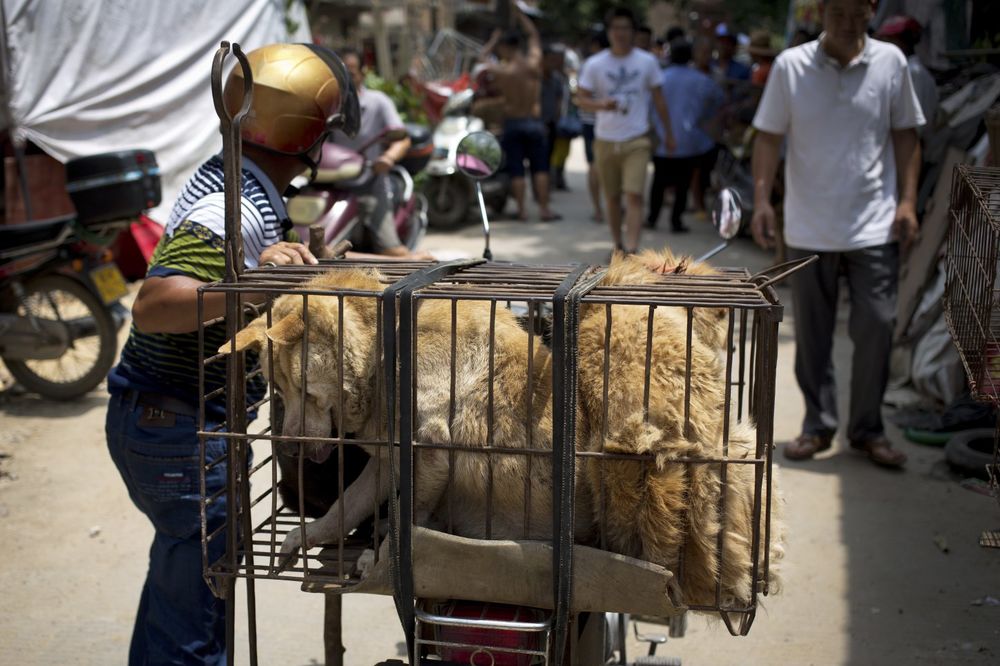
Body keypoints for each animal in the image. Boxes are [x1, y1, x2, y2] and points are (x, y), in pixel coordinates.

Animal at [225, 268, 592, 564]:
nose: (289, 450)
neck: (382, 349)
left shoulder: (429, 447)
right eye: (277, 388)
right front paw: (311, 533)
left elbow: (410, 518)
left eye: (305, 389)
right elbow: (346, 505)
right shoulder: (388, 460)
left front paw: (382, 557)